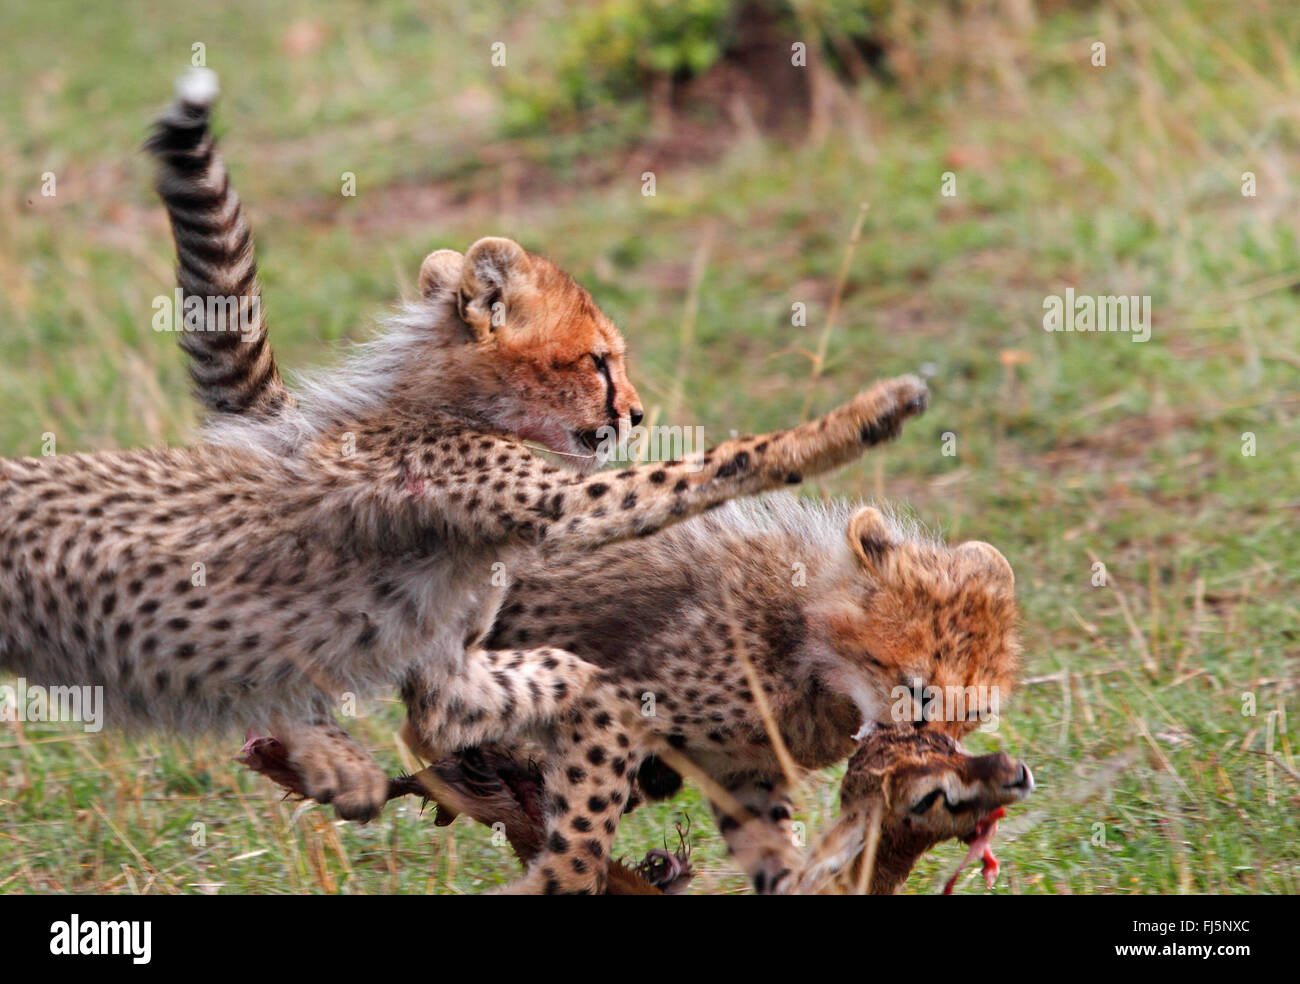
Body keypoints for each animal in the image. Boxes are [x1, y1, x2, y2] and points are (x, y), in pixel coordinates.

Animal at [0, 69, 929, 892]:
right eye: (597, 361)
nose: (635, 411)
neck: (444, 397)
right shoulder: (563, 506)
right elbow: (709, 466)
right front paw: (860, 418)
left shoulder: (451, 665)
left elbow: (534, 685)